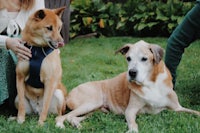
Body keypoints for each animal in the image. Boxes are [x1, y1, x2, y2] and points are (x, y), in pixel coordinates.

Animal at [55, 40, 200, 132]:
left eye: (144, 59)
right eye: (128, 58)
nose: (132, 73)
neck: (151, 83)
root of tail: (69, 94)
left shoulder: (177, 108)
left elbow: (195, 112)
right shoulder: (130, 111)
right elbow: (134, 124)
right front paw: (132, 130)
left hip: (97, 110)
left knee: (73, 117)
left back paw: (77, 125)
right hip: (91, 103)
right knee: (62, 116)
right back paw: (60, 126)